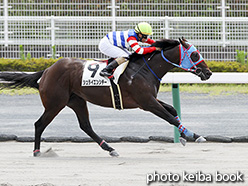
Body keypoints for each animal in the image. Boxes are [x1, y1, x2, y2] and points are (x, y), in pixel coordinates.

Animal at [0, 37, 213, 157]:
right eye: (195, 55)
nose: (208, 73)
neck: (144, 69)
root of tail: (47, 70)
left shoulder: (150, 99)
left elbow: (172, 110)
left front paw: (186, 135)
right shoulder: (147, 102)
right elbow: (169, 116)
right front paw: (193, 135)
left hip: (76, 101)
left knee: (85, 126)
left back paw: (110, 149)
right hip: (55, 103)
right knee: (39, 124)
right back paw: (36, 151)